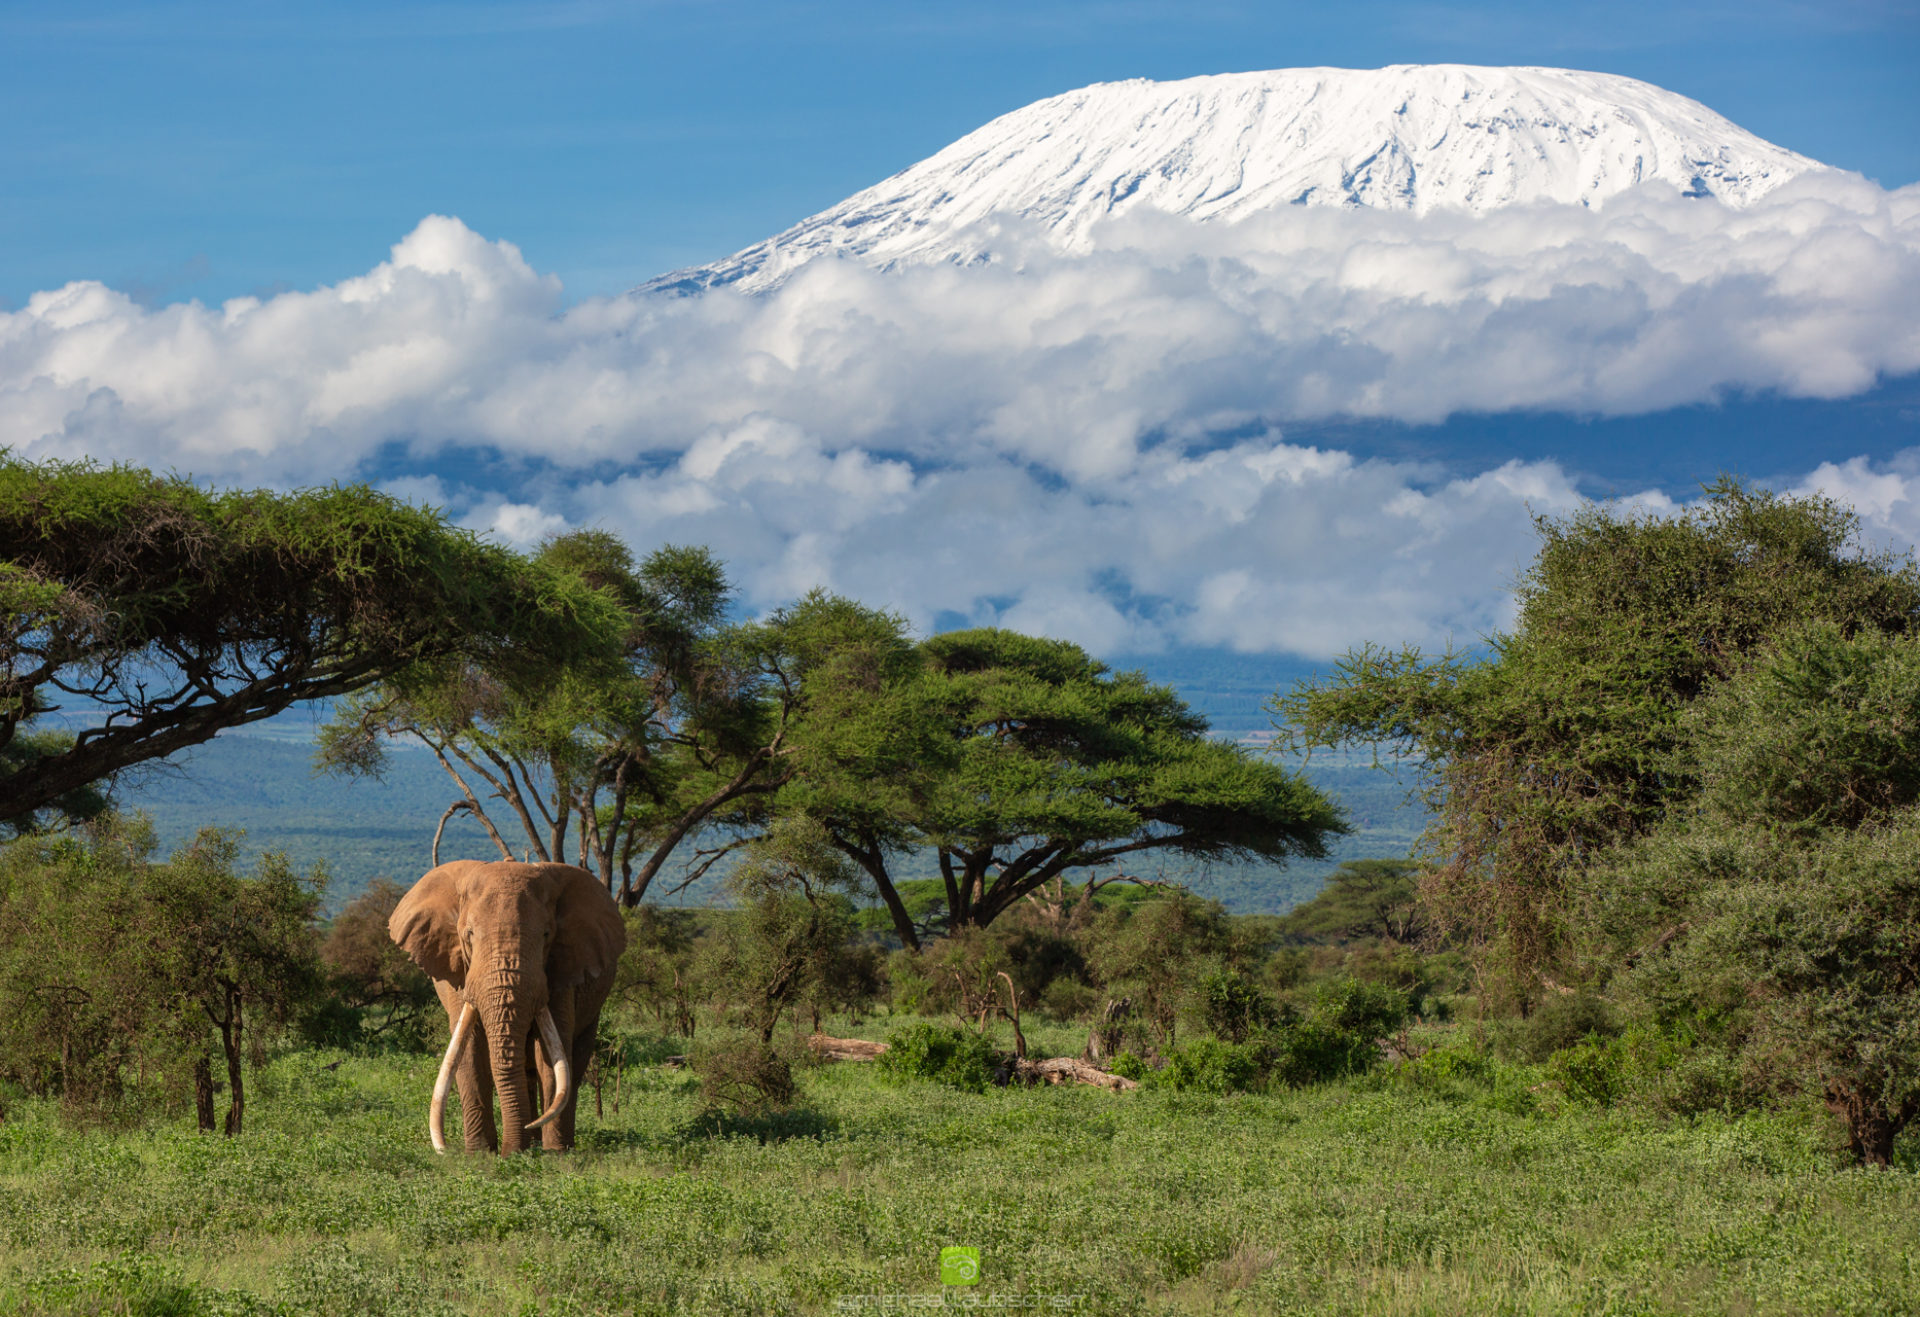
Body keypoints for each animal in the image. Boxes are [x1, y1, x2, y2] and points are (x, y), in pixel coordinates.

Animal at [385, 856, 625, 1151]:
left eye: (546, 935)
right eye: (469, 935)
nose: (510, 1153)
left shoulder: (559, 972)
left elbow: (551, 1054)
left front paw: (554, 1155)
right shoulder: (459, 973)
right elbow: (469, 1050)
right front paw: (480, 1154)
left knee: (573, 1063)